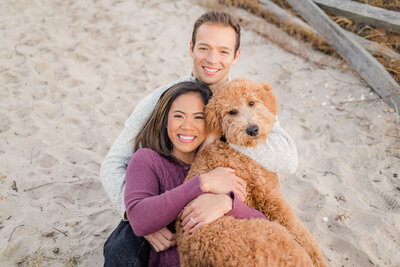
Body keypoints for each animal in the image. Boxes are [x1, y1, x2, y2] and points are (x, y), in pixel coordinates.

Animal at [175, 78, 324, 266]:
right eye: (232, 112)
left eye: (251, 103)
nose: (252, 129)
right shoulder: (271, 198)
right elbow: (303, 235)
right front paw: (319, 258)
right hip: (279, 238)